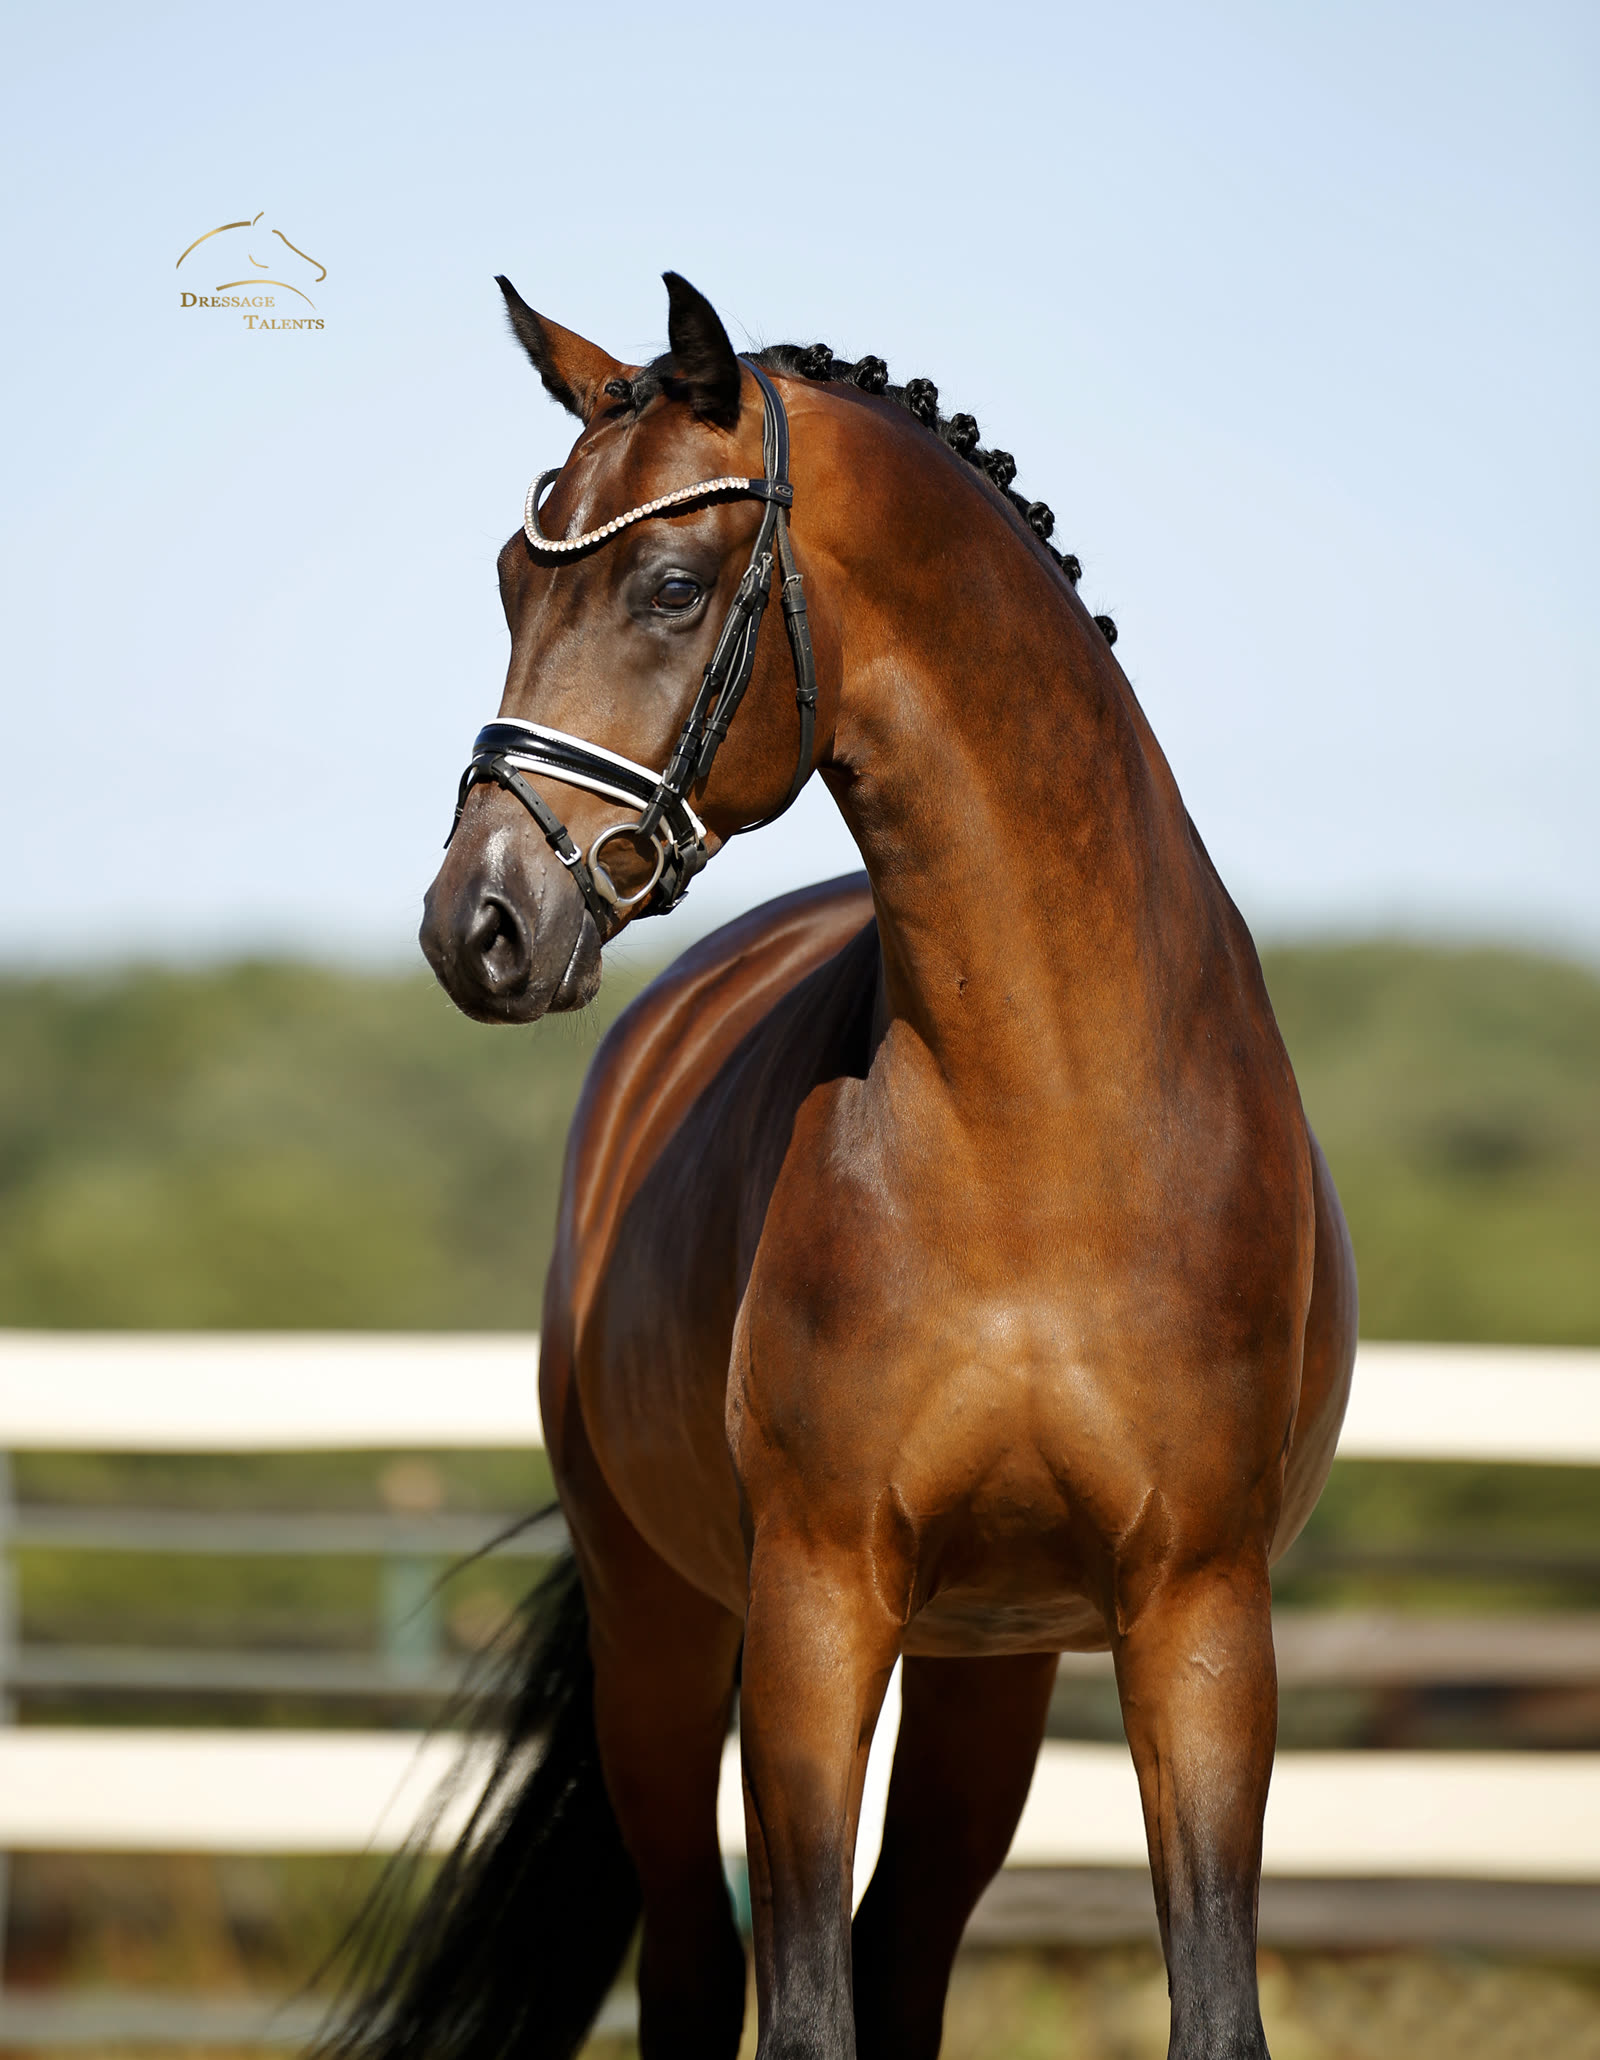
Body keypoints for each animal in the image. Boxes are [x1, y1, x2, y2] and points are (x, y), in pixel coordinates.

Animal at [326, 272, 1357, 2060]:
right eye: (516, 576)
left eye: (670, 585)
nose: (482, 923)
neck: (1040, 1120)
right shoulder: (815, 1607)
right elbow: (799, 2003)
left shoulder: (1197, 1613)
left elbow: (1205, 2006)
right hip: (665, 1638)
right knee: (694, 1964)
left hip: (988, 1660)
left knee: (907, 1946)